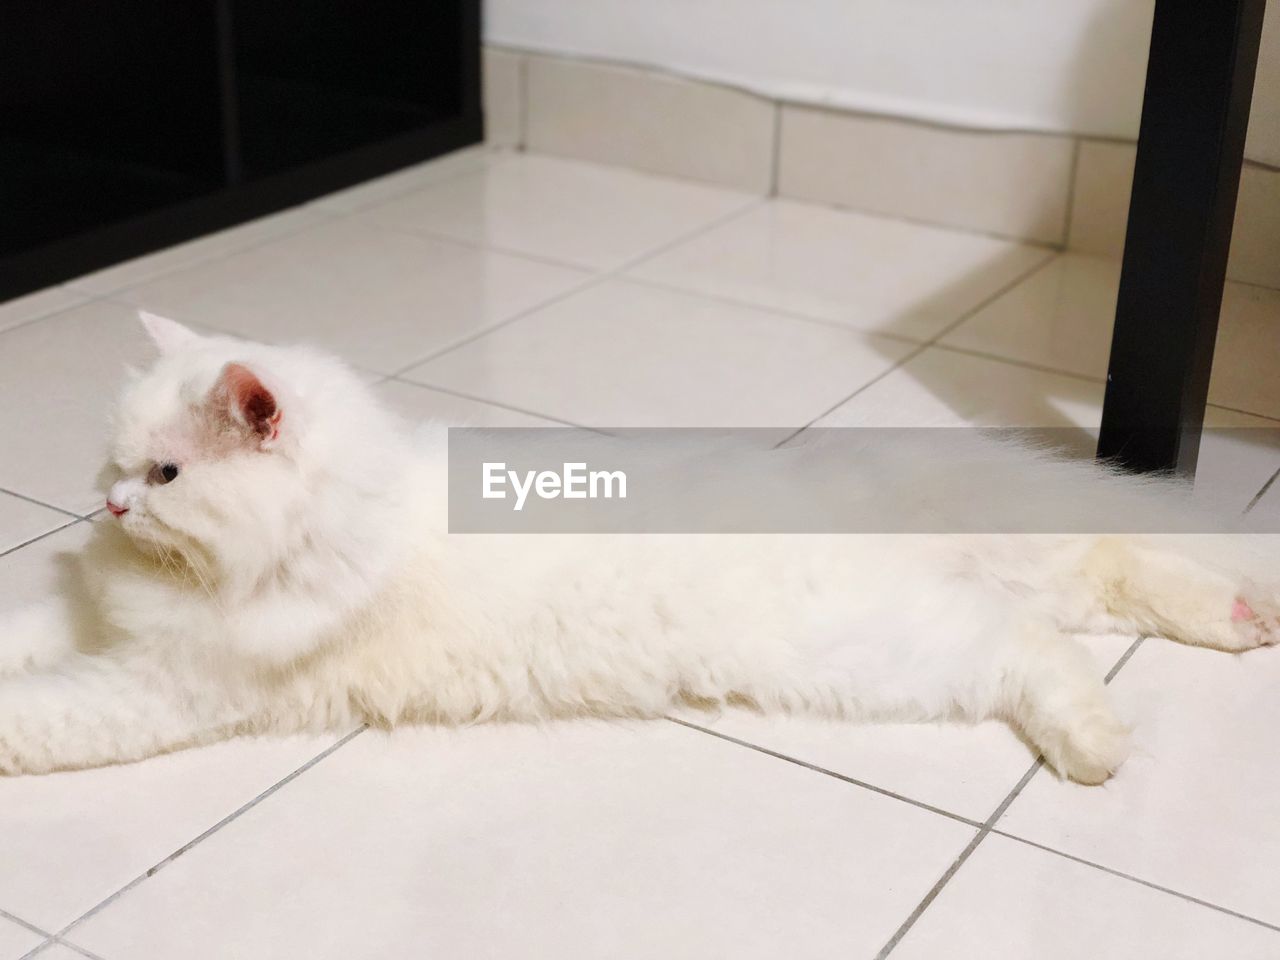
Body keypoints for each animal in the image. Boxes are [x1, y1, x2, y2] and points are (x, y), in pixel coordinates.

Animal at [0, 316, 1274, 783]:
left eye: (166, 479)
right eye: (113, 465)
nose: (108, 510)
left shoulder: (155, 687)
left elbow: (34, 712)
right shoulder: (97, 621)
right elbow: (23, 632)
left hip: (896, 651)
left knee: (1037, 649)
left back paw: (1096, 747)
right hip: (1009, 580)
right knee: (1108, 573)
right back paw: (1238, 623)